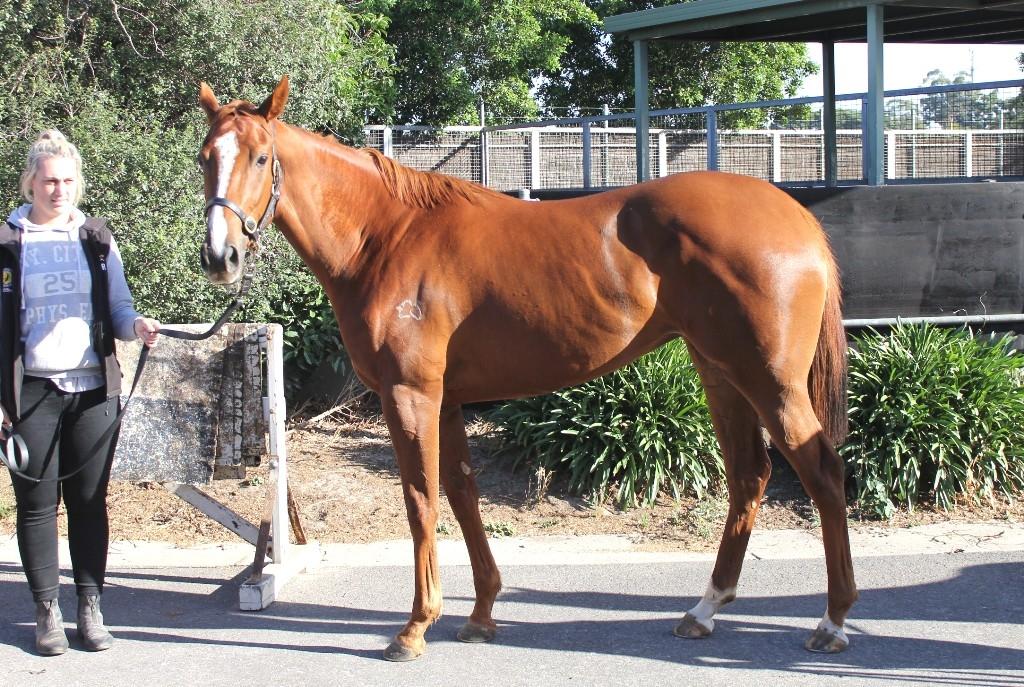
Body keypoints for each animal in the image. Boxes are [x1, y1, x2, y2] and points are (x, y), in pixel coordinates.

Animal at [197, 76, 857, 662]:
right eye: (206, 157)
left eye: (261, 157)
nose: (219, 257)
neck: (387, 237)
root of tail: (794, 216)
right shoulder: (448, 400)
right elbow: (462, 492)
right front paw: (482, 613)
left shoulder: (409, 395)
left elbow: (421, 499)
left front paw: (416, 627)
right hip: (722, 375)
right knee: (749, 475)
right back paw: (705, 609)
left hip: (771, 383)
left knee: (822, 472)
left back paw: (832, 620)